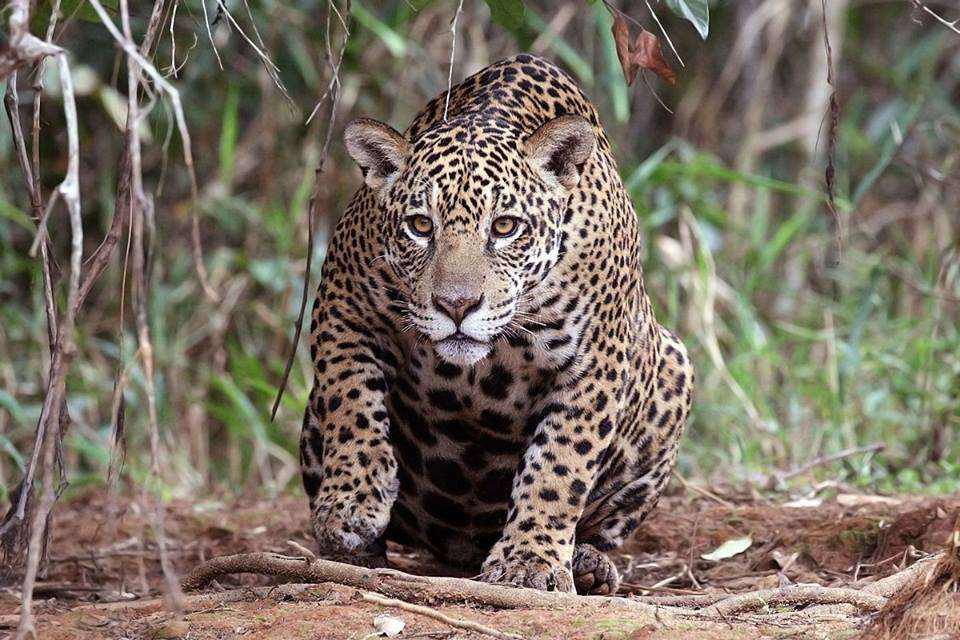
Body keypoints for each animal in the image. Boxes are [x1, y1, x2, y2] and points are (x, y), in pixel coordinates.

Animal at [299, 54, 693, 595]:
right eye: (420, 226)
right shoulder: (344, 301)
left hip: (674, 367)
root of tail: (460, 549)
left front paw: (529, 560)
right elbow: (351, 399)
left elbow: (560, 464)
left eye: (505, 227)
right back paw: (353, 554)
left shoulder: (595, 361)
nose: (456, 305)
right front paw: (351, 502)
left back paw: (588, 564)